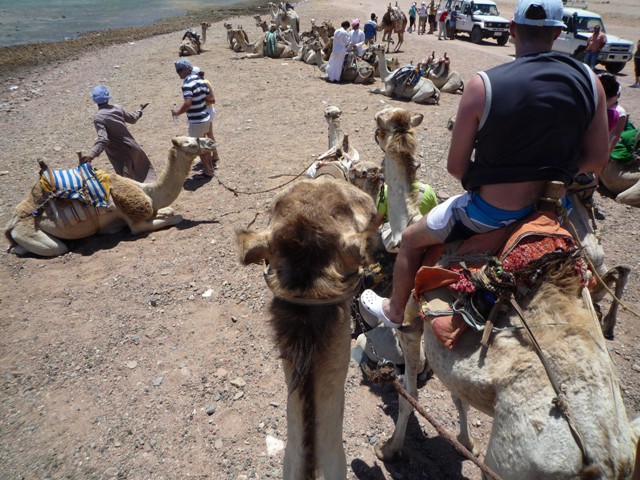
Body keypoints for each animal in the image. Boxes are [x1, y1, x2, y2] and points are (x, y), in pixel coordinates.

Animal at [5, 137, 216, 256]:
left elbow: (170, 209)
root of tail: (12, 223)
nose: (211, 142)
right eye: (190, 143)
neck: (149, 192)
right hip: (31, 234)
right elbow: (176, 217)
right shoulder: (136, 223)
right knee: (55, 248)